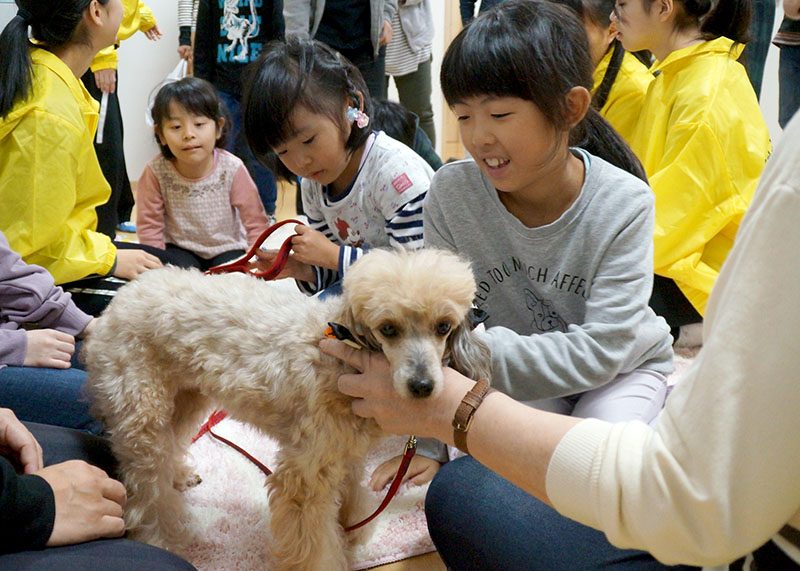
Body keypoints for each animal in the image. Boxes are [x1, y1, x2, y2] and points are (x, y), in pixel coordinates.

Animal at [84, 248, 490, 568]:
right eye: (388, 329)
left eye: (443, 327)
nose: (423, 387)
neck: (339, 359)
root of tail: (116, 302)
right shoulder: (304, 476)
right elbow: (314, 546)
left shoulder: (346, 454)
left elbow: (351, 498)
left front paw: (351, 533)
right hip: (143, 413)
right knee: (145, 491)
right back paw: (161, 539)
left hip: (186, 398)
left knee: (172, 446)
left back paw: (179, 476)